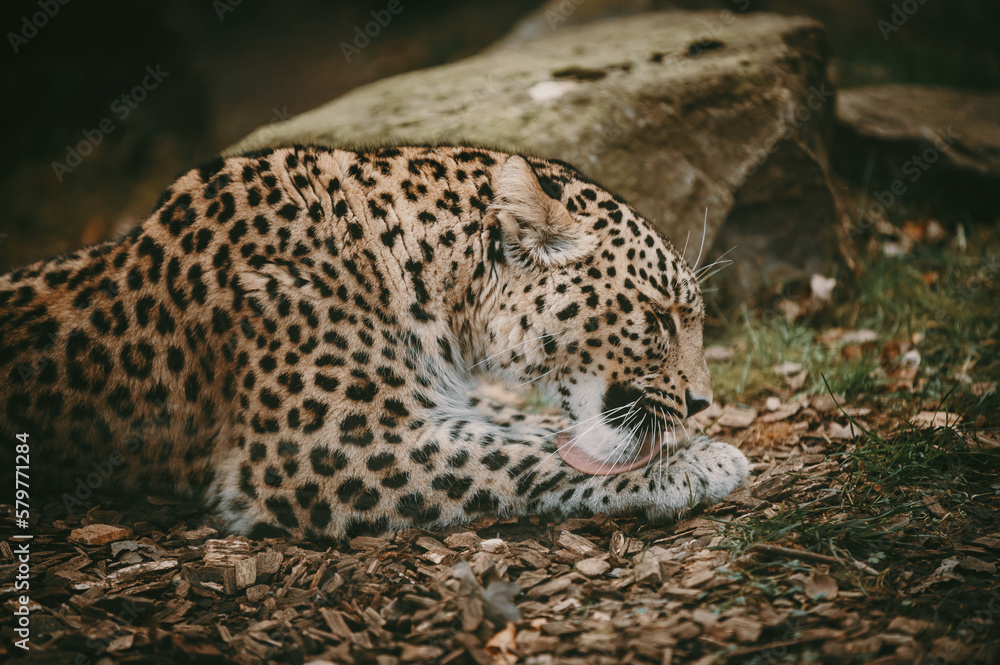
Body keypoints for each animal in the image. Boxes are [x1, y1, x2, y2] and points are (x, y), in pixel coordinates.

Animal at [0, 145, 749, 540]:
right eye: (658, 317)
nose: (704, 403)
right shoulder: (316, 448)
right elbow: (518, 455)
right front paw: (697, 462)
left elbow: (525, 428)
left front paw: (696, 446)